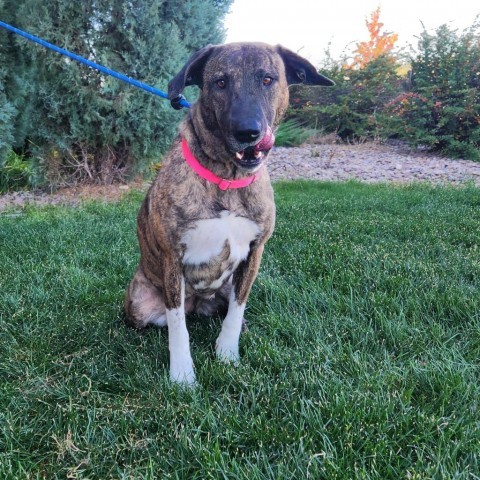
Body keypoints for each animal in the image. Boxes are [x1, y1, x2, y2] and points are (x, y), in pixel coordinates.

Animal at [124, 42, 334, 386]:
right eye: (220, 82)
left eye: (268, 79)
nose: (247, 132)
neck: (227, 177)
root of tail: (199, 304)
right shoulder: (171, 259)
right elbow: (177, 325)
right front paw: (182, 374)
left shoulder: (254, 252)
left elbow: (237, 310)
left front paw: (227, 352)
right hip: (139, 303)